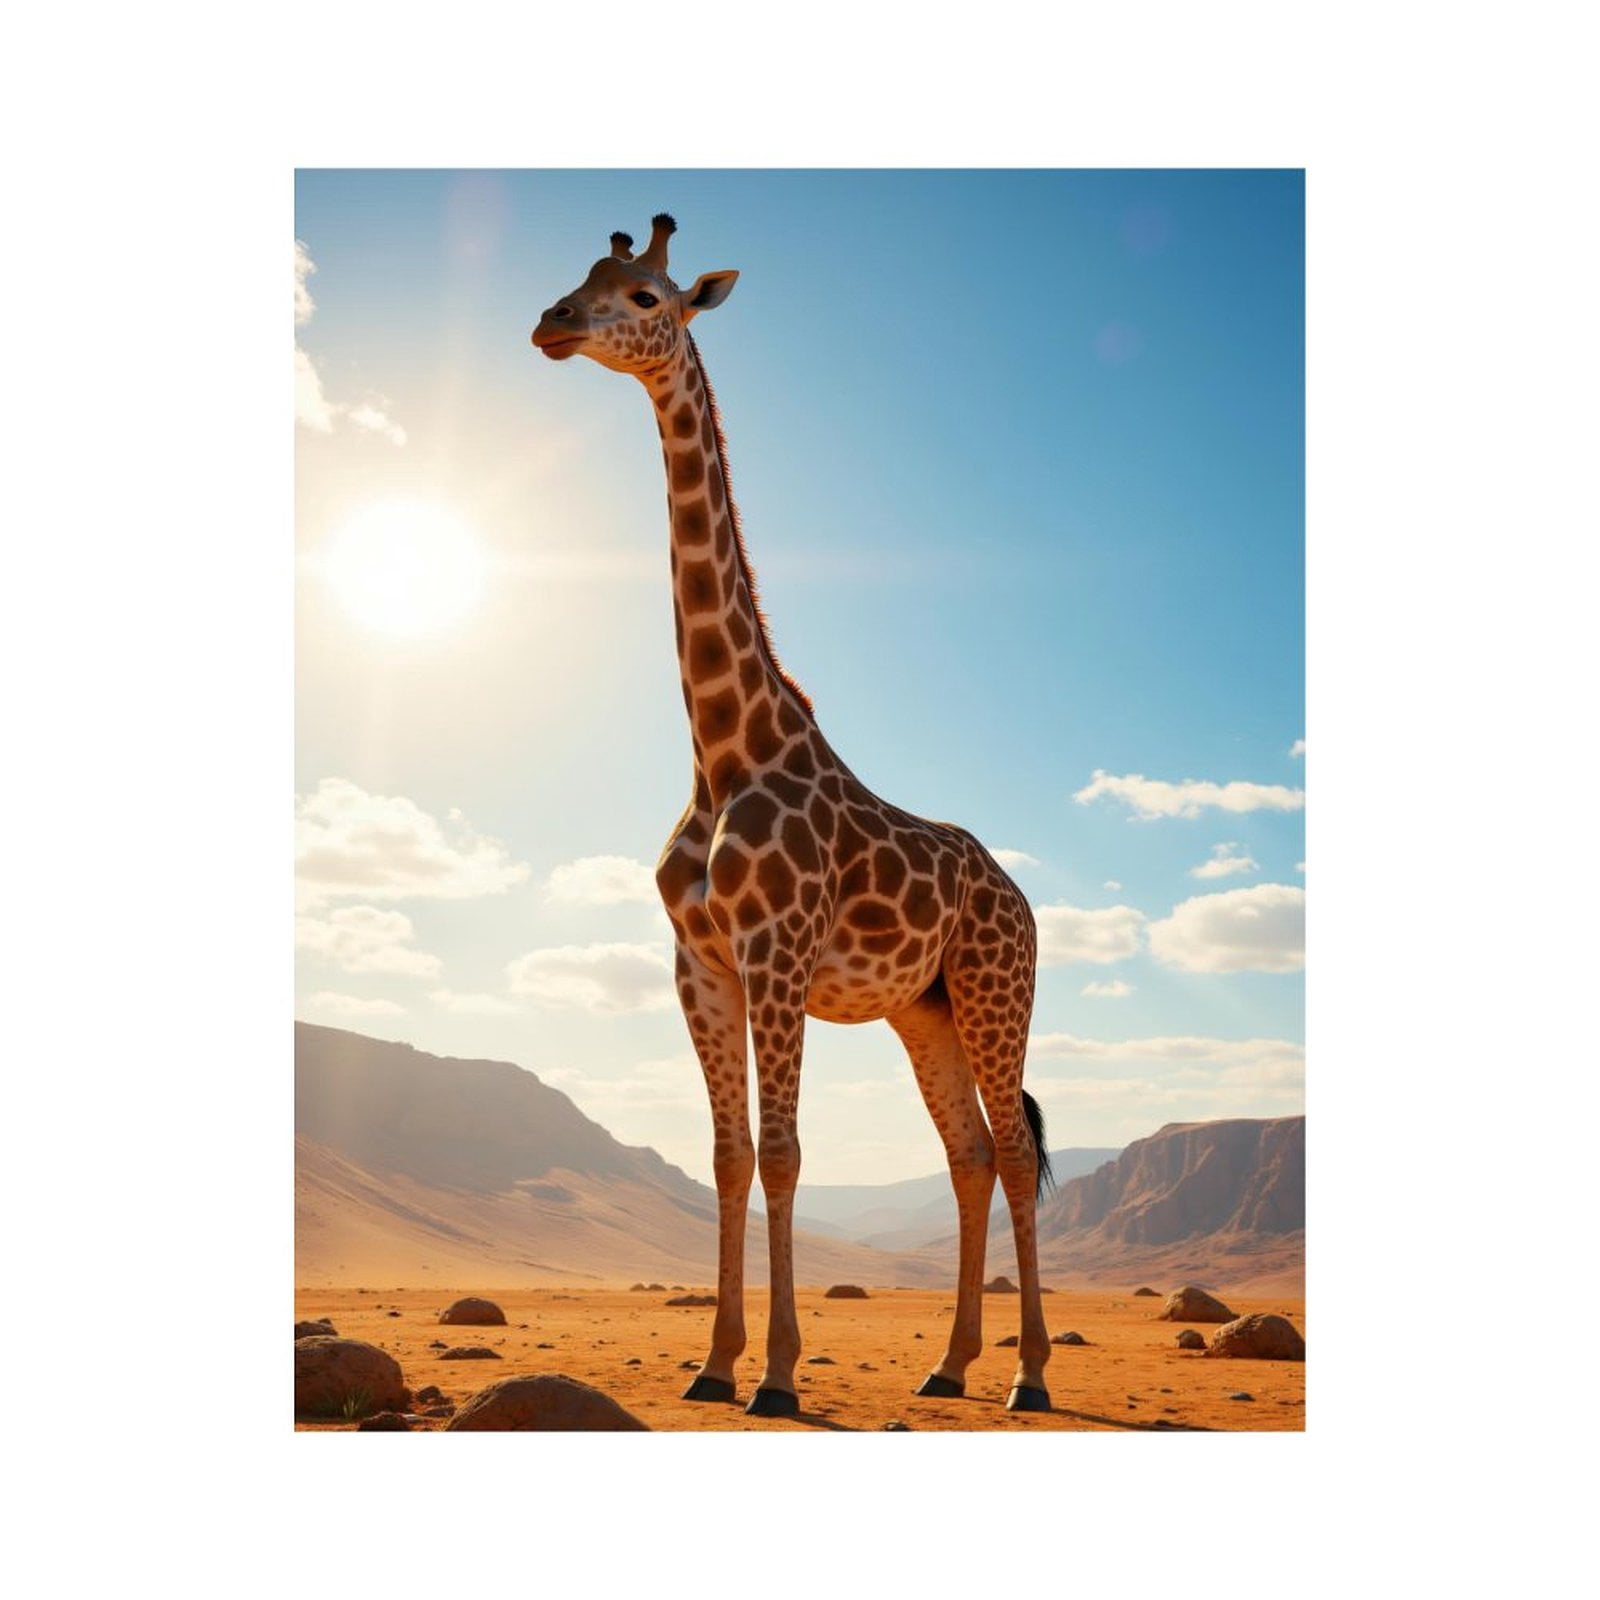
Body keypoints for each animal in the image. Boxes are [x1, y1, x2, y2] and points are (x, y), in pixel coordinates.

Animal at [531, 215, 1055, 1417]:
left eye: (644, 294)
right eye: (581, 276)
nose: (550, 323)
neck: (724, 749)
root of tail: (1022, 899)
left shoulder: (775, 953)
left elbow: (784, 1153)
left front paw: (774, 1375)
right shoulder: (699, 962)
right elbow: (729, 1155)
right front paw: (713, 1365)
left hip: (997, 992)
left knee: (1011, 1151)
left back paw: (1029, 1378)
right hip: (926, 1010)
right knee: (966, 1154)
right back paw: (949, 1365)